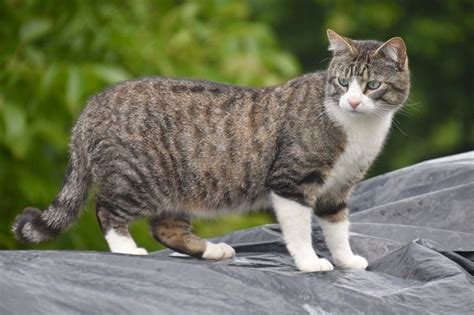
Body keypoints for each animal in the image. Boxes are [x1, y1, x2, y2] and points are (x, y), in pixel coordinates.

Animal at [12, 29, 410, 272]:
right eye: (343, 82)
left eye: (372, 85)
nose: (353, 101)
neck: (359, 130)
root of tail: (93, 104)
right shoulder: (291, 181)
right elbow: (299, 230)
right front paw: (310, 263)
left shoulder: (337, 189)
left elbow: (337, 228)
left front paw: (346, 261)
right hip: (137, 178)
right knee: (107, 209)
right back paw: (126, 249)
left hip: (175, 190)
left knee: (165, 228)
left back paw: (212, 250)